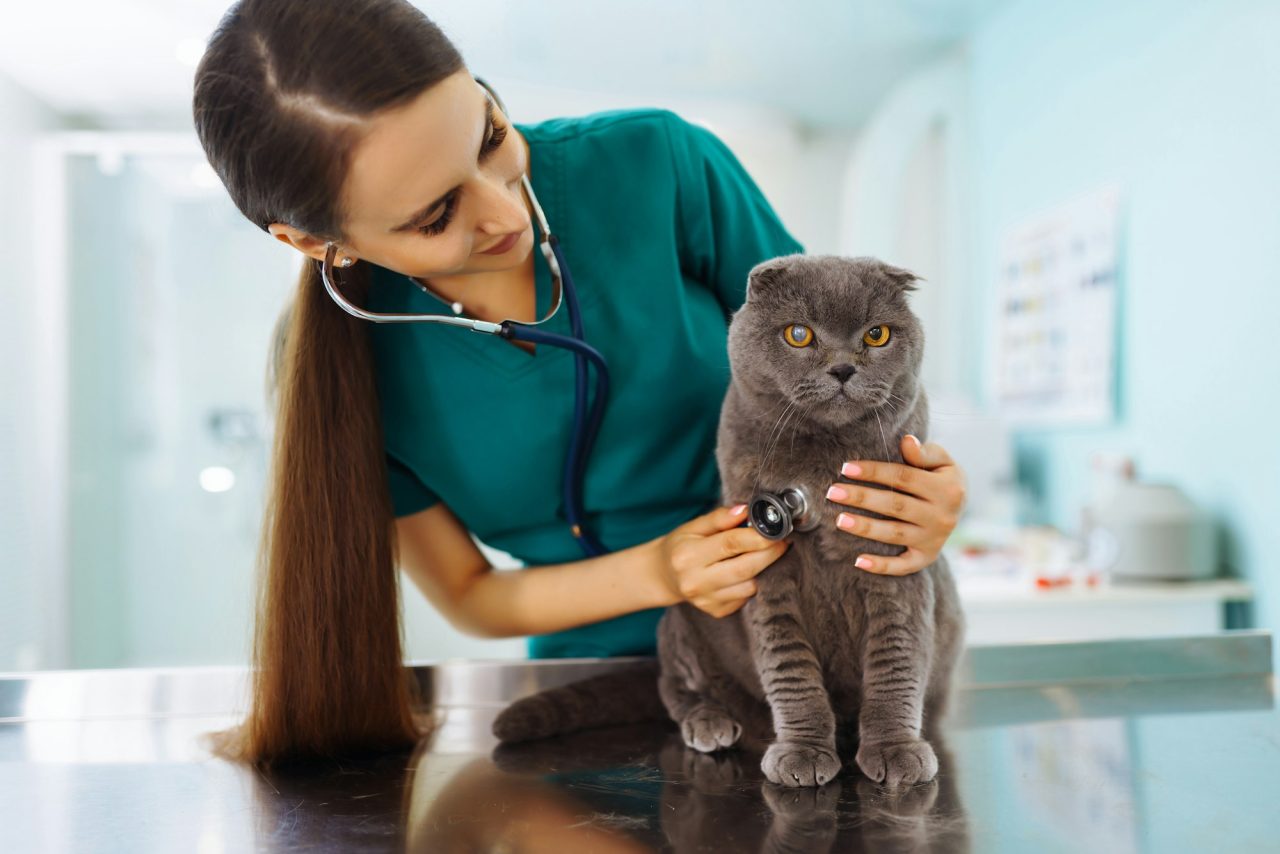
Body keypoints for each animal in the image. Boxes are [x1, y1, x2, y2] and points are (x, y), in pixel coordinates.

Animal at [488, 256, 962, 793]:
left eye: (877, 334)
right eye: (799, 334)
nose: (843, 367)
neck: (823, 460)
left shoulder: (891, 560)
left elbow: (895, 661)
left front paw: (895, 749)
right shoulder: (767, 570)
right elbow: (790, 668)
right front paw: (802, 752)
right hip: (680, 617)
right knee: (671, 685)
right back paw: (710, 721)